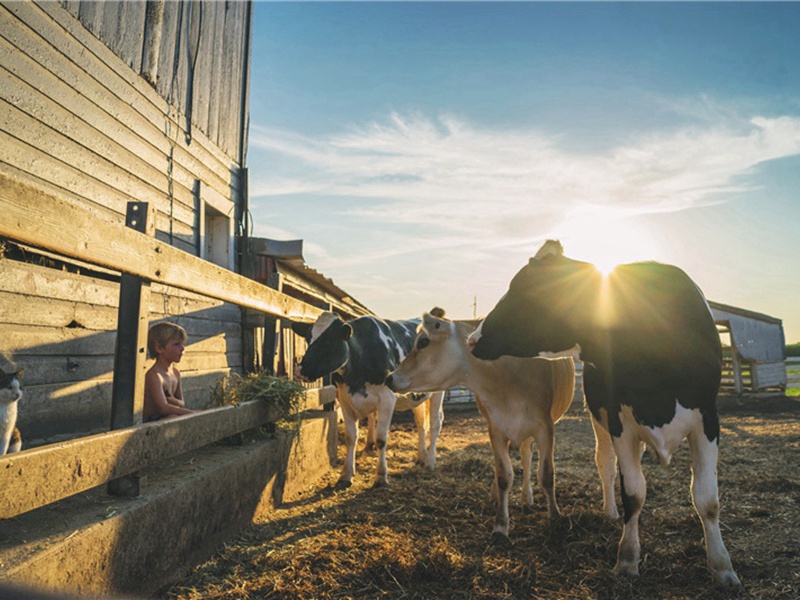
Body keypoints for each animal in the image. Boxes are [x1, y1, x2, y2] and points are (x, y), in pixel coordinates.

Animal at [296, 312, 444, 490]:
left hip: (437, 391)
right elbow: (350, 437)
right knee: (421, 423)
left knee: (435, 423)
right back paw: (421, 457)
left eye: (328, 341)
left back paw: (430, 461)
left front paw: (381, 476)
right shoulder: (344, 399)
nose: (300, 370)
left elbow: (381, 440)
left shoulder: (387, 398)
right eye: (307, 339)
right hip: (416, 397)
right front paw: (346, 475)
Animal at [468, 239, 736, 584]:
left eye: (523, 288)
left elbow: (707, 499)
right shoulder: (620, 422)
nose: (472, 340)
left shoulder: (707, 420)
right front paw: (627, 559)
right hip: (599, 418)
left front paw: (722, 567)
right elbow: (633, 493)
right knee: (605, 462)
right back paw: (610, 512)